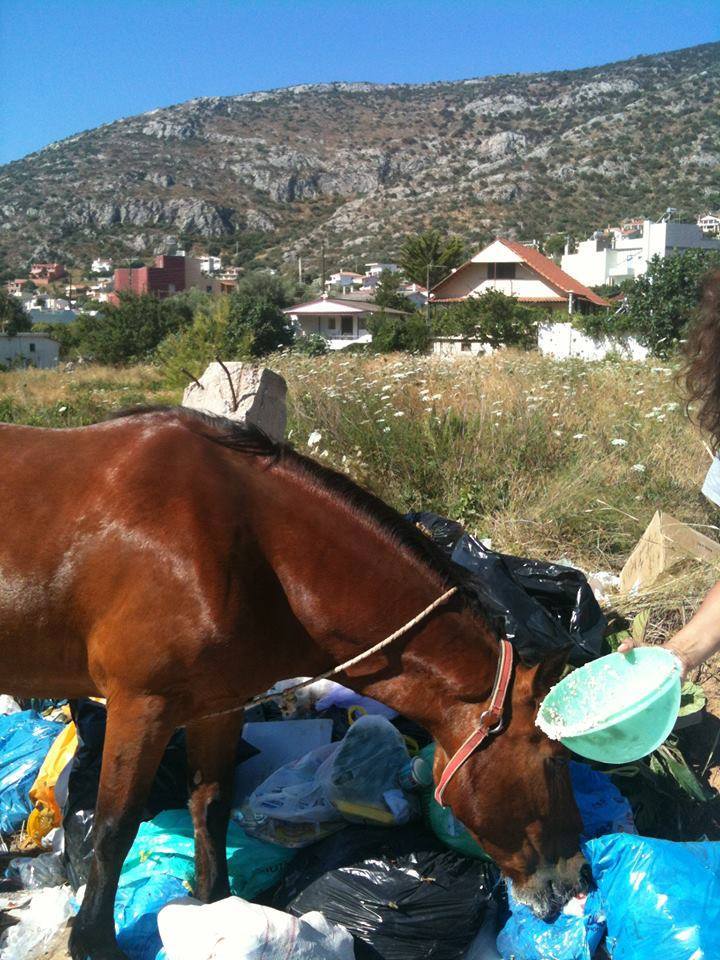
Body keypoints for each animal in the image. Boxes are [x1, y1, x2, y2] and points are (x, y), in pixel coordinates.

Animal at [0, 406, 588, 959]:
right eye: (556, 760)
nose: (577, 876)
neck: (243, 548)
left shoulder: (218, 706)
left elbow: (210, 805)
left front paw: (217, 908)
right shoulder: (141, 706)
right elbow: (114, 829)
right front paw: (93, 942)